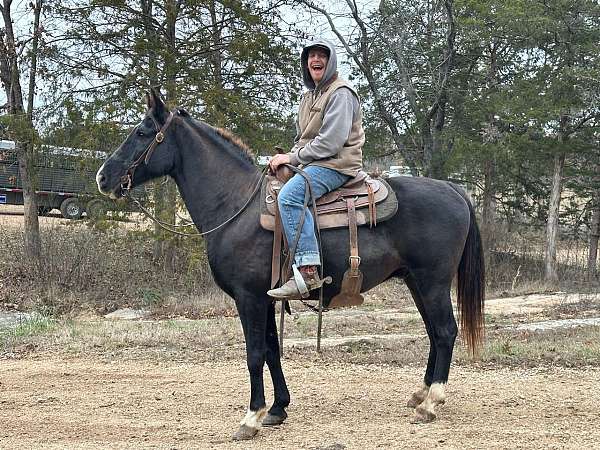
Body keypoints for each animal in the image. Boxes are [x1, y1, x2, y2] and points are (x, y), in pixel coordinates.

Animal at [97, 90, 482, 440]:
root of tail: (454, 190)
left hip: (433, 282)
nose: (103, 177)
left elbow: (254, 353)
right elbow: (271, 350)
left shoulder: (248, 297)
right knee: (434, 332)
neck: (235, 203)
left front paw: (250, 418)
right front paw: (277, 408)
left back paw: (431, 403)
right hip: (416, 282)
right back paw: (421, 393)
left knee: (445, 331)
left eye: (142, 132)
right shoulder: (265, 297)